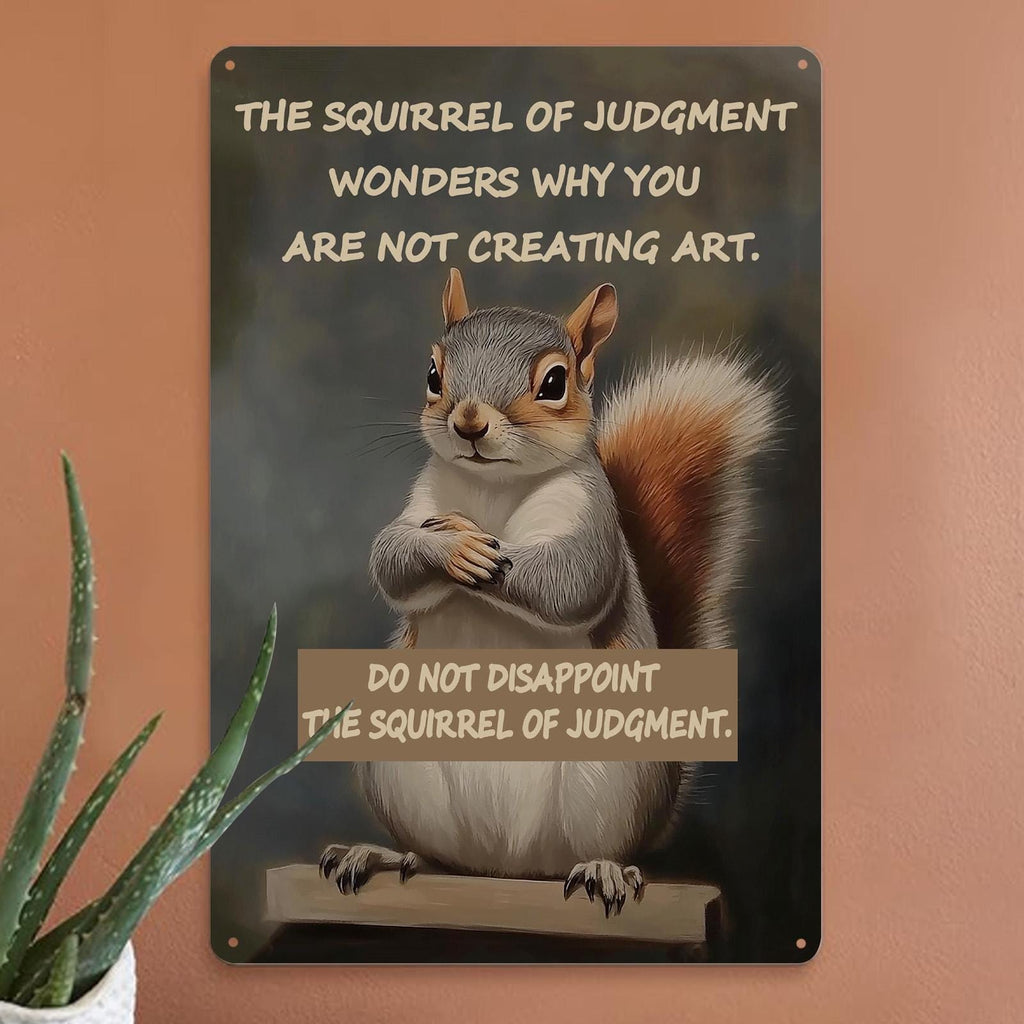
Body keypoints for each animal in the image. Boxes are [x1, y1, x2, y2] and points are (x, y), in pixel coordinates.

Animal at [319, 269, 775, 916]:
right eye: (433, 374)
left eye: (555, 382)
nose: (469, 422)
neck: (493, 489)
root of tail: (508, 867)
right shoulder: (422, 501)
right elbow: (389, 558)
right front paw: (451, 547)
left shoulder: (591, 515)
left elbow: (571, 582)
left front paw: (483, 554)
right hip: (397, 764)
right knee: (437, 858)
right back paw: (379, 854)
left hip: (612, 777)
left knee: (595, 848)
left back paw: (604, 868)